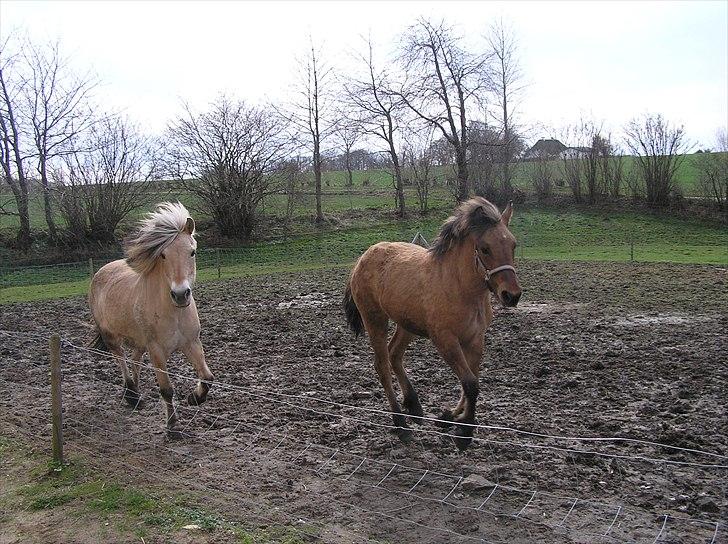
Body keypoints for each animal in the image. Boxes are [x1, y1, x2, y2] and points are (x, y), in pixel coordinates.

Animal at [89, 202, 213, 432]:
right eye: (163, 255)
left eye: (192, 252)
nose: (181, 294)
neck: (174, 312)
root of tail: (102, 270)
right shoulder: (156, 350)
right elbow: (166, 390)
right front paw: (172, 425)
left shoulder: (191, 343)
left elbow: (208, 378)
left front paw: (194, 398)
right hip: (112, 337)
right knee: (121, 359)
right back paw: (132, 396)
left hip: (139, 341)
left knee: (135, 359)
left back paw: (135, 392)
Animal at [344, 198, 520, 448]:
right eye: (485, 248)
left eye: (513, 245)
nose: (511, 295)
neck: (460, 289)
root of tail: (363, 258)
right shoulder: (445, 340)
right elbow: (470, 383)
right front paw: (464, 433)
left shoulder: (475, 339)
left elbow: (471, 382)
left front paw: (451, 417)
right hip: (375, 319)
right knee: (382, 365)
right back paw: (401, 424)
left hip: (407, 325)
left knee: (394, 354)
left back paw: (415, 407)